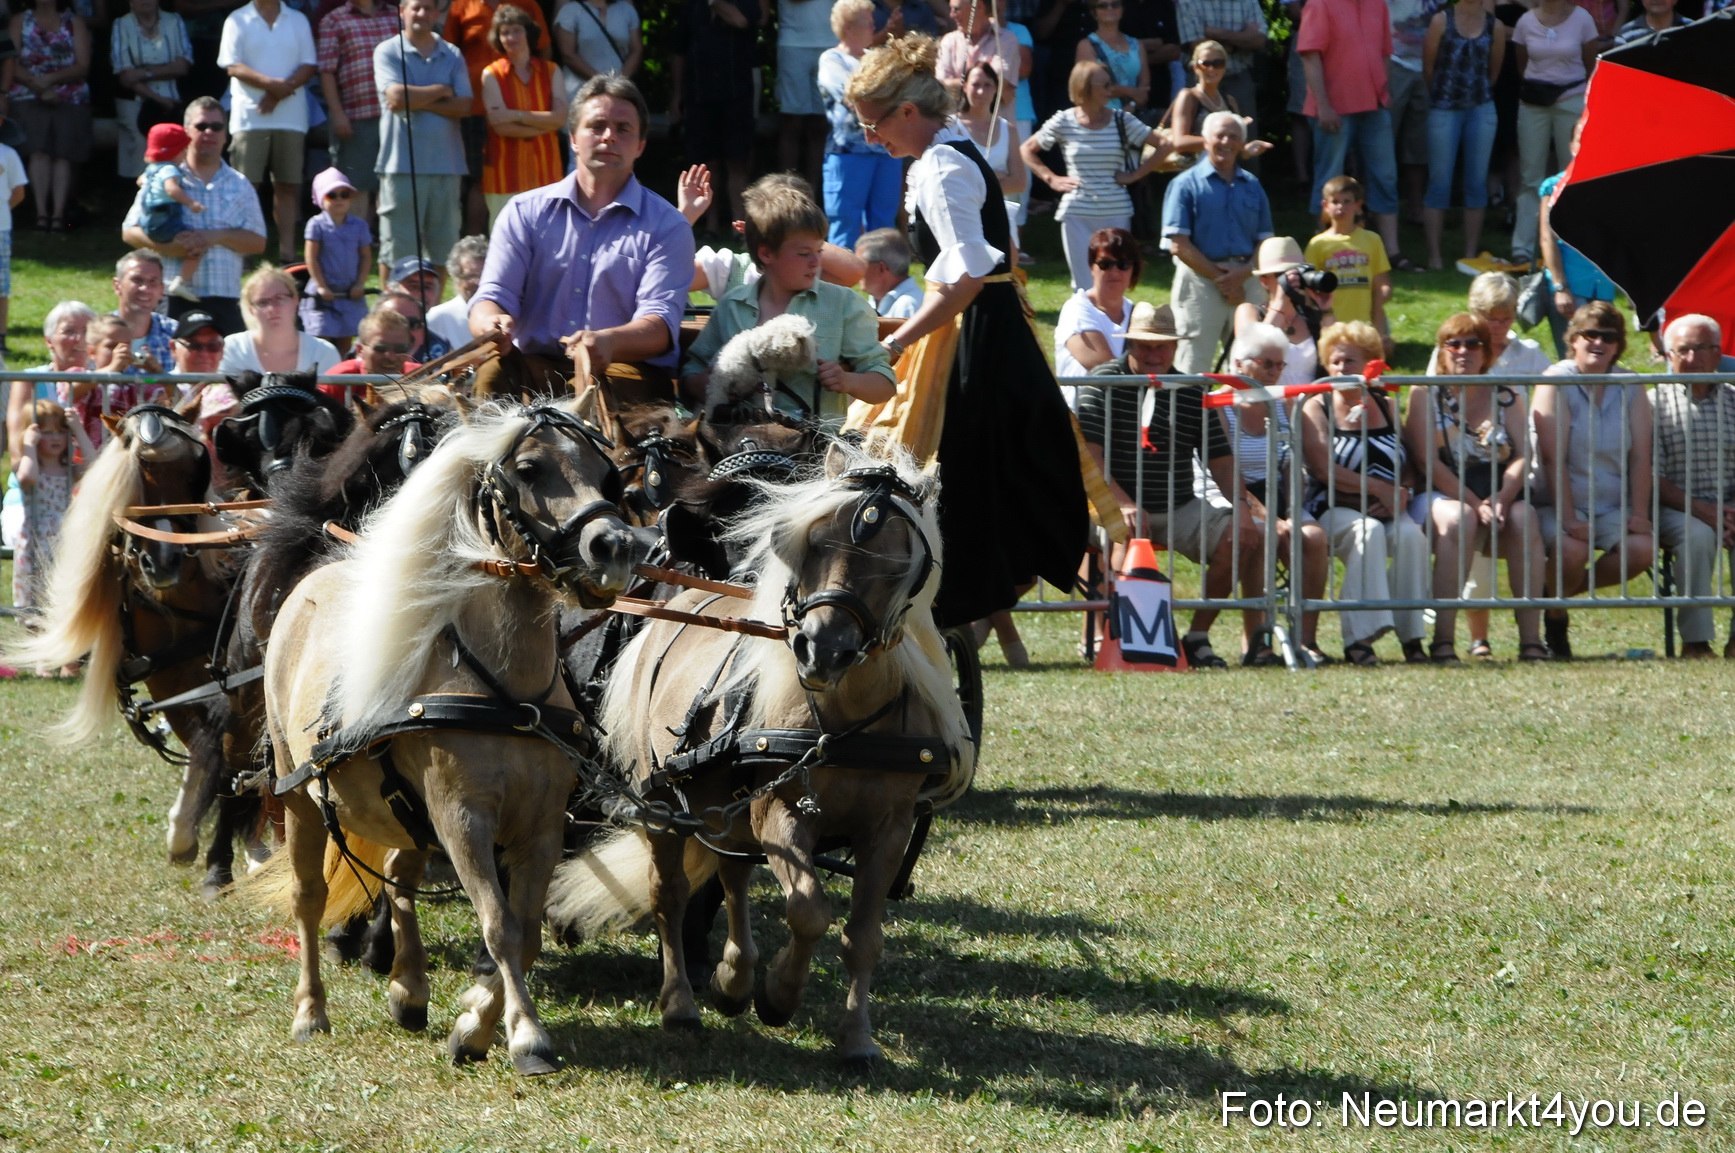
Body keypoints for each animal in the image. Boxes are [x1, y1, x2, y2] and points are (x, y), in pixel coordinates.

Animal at [1, 402, 261, 895]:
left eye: (195, 469)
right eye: (136, 473)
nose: (163, 561)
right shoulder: (172, 686)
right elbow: (210, 753)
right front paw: (190, 840)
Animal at [250, 399, 636, 1075]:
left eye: (606, 473)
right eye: (529, 469)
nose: (613, 546)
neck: (508, 696)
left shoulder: (542, 824)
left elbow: (525, 931)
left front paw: (473, 1023)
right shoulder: (462, 817)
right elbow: (499, 925)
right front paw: (525, 1036)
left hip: (408, 813)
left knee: (398, 873)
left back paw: (409, 989)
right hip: (298, 796)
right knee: (308, 896)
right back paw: (311, 1012)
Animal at [544, 439, 975, 1066]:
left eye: (901, 562)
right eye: (812, 542)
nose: (822, 649)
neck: (842, 721)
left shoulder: (889, 828)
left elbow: (863, 937)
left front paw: (856, 1038)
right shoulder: (781, 810)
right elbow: (808, 909)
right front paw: (778, 996)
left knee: (732, 874)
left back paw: (733, 977)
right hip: (663, 805)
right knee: (671, 896)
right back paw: (683, 1003)